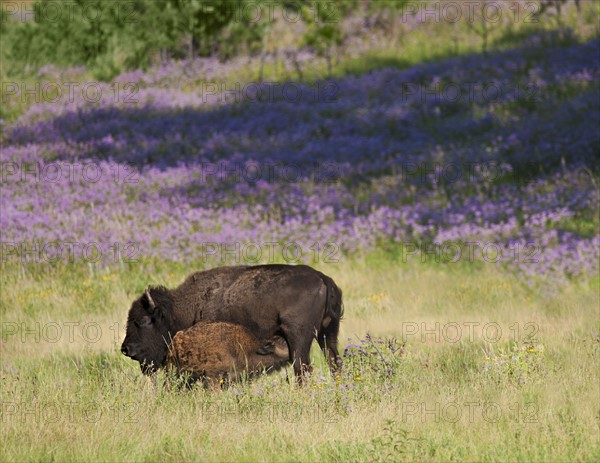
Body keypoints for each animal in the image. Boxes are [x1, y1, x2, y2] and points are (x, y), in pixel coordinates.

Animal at [119, 264, 342, 380]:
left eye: (143, 320)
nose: (126, 349)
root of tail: (322, 278)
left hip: (299, 338)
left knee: (302, 368)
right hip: (328, 334)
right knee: (334, 363)